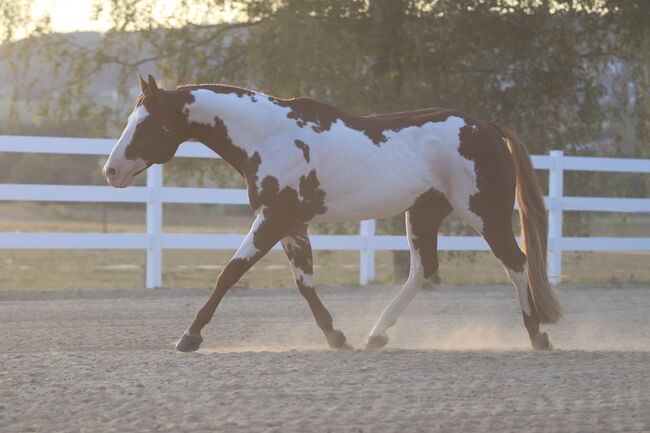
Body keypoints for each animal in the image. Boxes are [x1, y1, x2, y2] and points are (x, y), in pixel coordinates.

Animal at [102, 74, 560, 352]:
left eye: (147, 123)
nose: (111, 171)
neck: (269, 136)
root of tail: (486, 127)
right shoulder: (292, 227)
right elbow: (304, 285)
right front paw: (337, 337)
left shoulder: (272, 220)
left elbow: (229, 273)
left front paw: (189, 336)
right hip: (424, 213)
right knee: (423, 269)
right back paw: (376, 335)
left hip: (485, 215)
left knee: (517, 264)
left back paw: (538, 336)